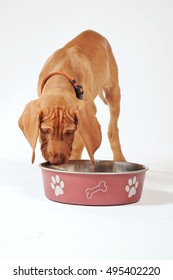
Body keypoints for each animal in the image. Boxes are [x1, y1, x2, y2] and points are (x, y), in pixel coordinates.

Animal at [18, 29, 125, 164]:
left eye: (69, 132)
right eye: (45, 130)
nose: (56, 161)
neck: (61, 76)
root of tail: (94, 32)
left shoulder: (88, 110)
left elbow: (79, 142)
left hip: (114, 91)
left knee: (113, 129)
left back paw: (120, 158)